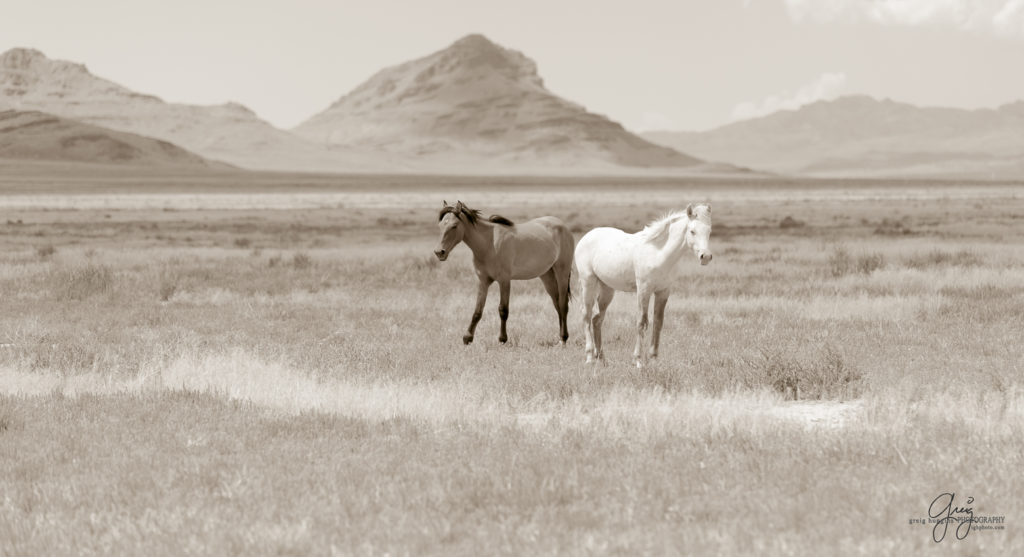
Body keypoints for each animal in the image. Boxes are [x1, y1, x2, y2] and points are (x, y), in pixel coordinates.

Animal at [434, 202, 577, 344]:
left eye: (454, 226)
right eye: (440, 225)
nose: (439, 252)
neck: (488, 244)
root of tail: (563, 226)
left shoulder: (504, 281)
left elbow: (503, 310)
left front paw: (502, 339)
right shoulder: (483, 281)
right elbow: (477, 311)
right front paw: (467, 337)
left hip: (562, 273)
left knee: (563, 305)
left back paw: (563, 338)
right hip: (547, 276)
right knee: (557, 304)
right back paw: (560, 337)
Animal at [577, 204, 712, 364]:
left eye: (709, 231)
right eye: (692, 231)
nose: (706, 257)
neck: (659, 254)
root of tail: (586, 237)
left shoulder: (663, 291)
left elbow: (658, 322)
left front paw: (653, 358)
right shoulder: (643, 290)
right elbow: (641, 322)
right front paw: (638, 360)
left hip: (607, 290)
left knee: (597, 320)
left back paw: (602, 358)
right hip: (588, 283)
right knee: (586, 316)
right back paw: (590, 357)